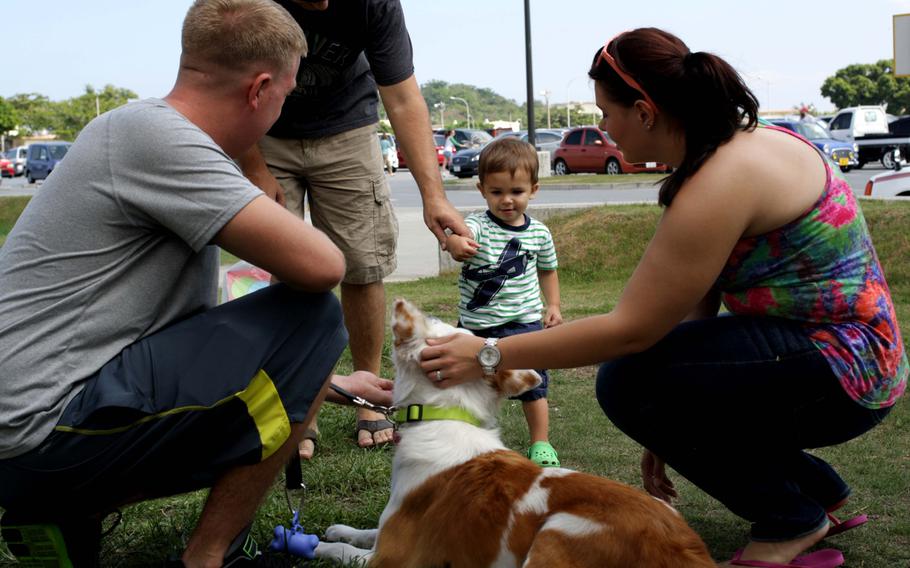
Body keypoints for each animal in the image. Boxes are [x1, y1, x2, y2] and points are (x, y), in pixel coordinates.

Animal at [316, 300, 720, 564]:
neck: (447, 414)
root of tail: (687, 549)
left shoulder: (391, 557)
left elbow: (345, 551)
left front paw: (317, 544)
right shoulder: (389, 528)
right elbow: (365, 530)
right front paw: (339, 529)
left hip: (557, 533)